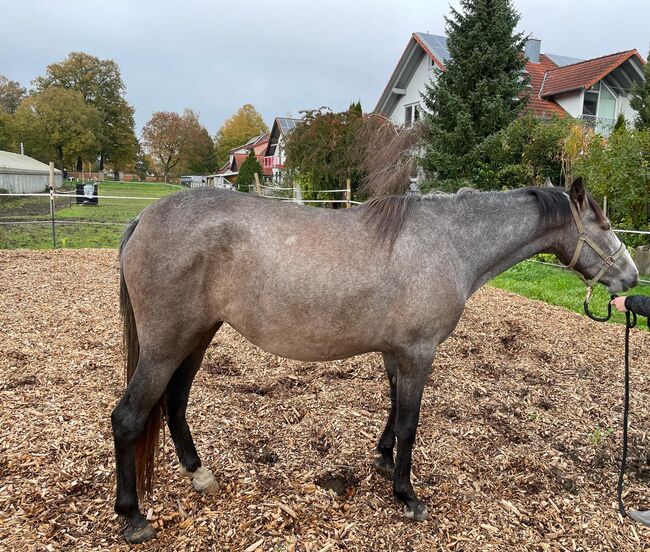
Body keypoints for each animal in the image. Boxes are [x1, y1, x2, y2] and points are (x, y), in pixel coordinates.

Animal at [112, 178, 636, 544]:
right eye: (606, 227)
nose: (631, 277)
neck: (449, 243)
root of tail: (143, 221)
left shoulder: (396, 352)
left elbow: (392, 409)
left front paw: (383, 460)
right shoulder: (419, 353)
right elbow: (409, 422)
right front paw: (407, 496)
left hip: (197, 337)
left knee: (175, 403)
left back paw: (197, 473)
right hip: (165, 346)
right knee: (128, 418)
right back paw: (133, 516)